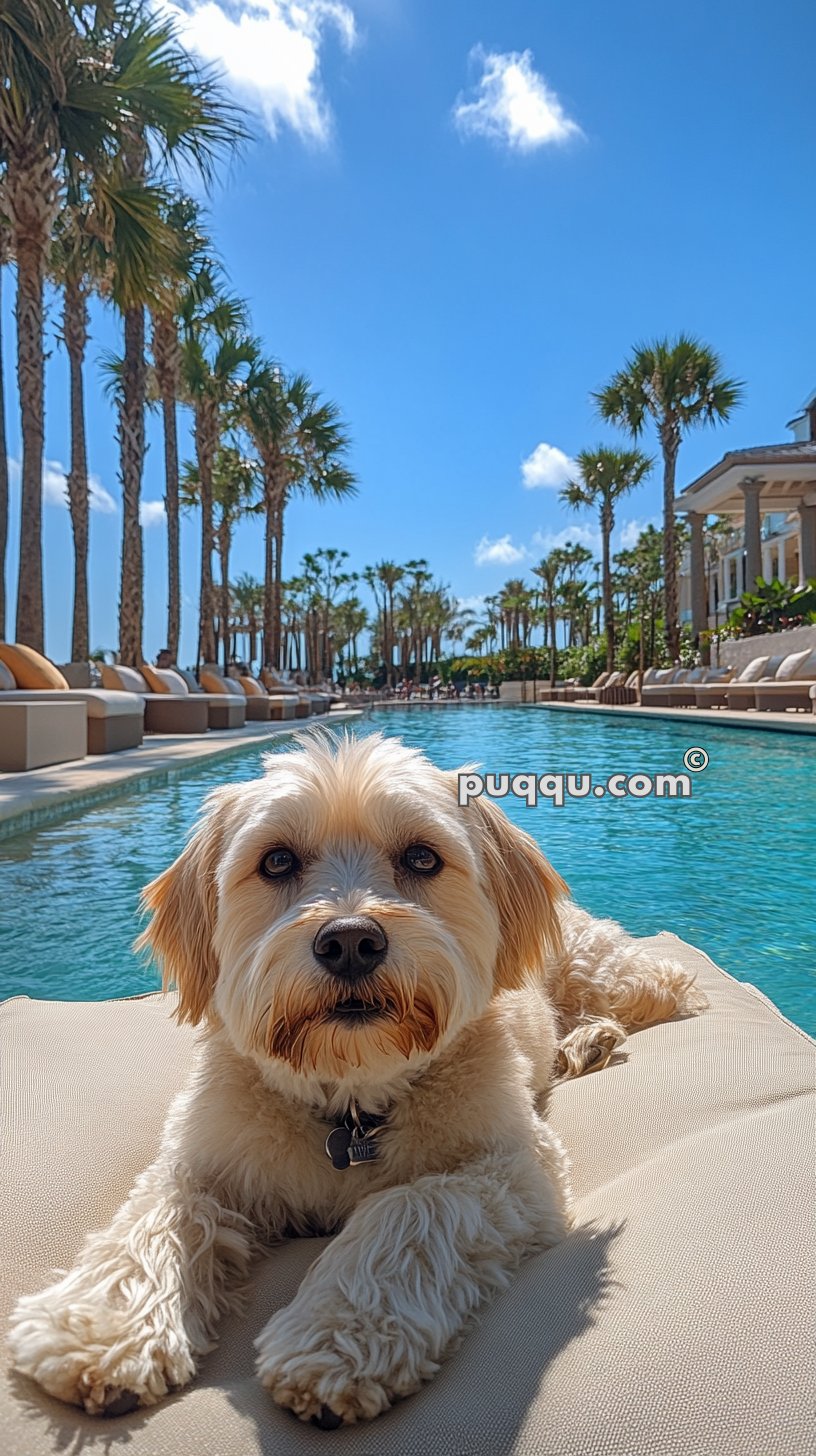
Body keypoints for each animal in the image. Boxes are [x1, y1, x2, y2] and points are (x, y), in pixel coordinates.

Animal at [7, 728, 708, 1421]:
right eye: (277, 861)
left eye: (422, 858)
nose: (349, 941)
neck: (350, 1099)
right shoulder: (205, 1155)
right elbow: (158, 1219)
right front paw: (103, 1326)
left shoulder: (516, 1167)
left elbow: (406, 1205)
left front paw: (338, 1336)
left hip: (600, 969)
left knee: (669, 988)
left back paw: (592, 1037)